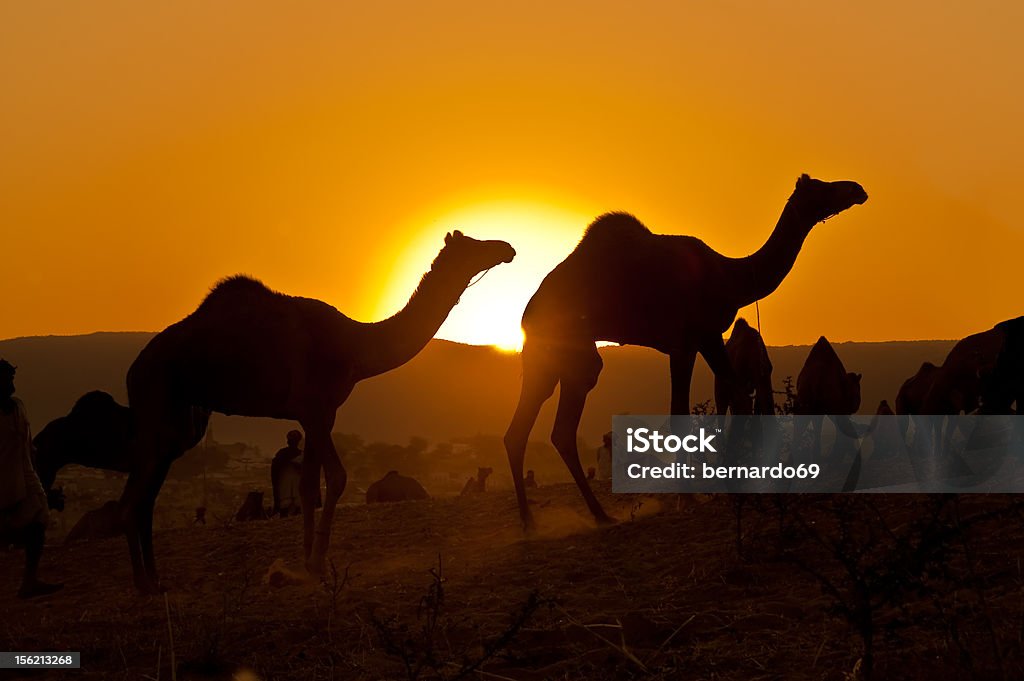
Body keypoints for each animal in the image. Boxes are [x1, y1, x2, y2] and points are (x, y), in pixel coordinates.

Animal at [122, 229, 516, 589]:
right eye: (473, 245)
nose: (507, 247)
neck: (356, 345)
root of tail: (133, 370)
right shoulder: (315, 408)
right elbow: (337, 477)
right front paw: (317, 564)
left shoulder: (316, 414)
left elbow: (309, 484)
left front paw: (304, 563)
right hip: (156, 403)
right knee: (135, 494)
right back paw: (141, 582)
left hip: (179, 420)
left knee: (146, 491)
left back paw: (155, 577)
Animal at [501, 174, 864, 524]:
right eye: (820, 187)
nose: (857, 189)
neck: (729, 276)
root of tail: (528, 311)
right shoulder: (688, 340)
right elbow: (684, 416)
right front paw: (689, 498)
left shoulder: (707, 338)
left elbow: (736, 400)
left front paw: (731, 486)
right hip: (571, 351)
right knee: (559, 426)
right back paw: (583, 516)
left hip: (551, 355)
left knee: (530, 430)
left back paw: (539, 519)